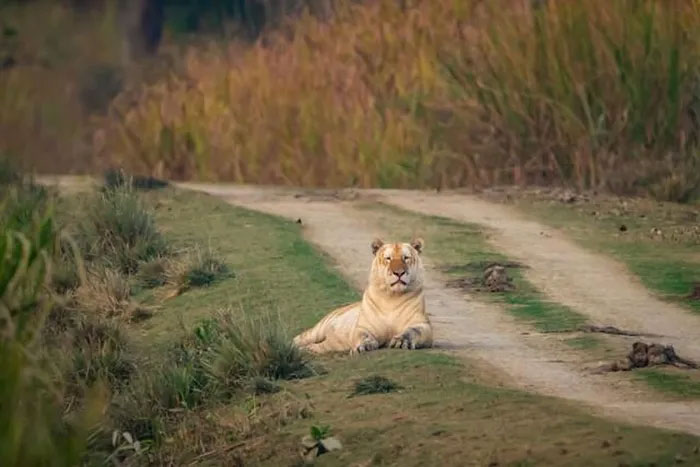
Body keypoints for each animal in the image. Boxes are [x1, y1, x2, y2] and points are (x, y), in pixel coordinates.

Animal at [292, 238, 432, 354]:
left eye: (406, 258)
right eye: (388, 258)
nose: (399, 272)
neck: (392, 297)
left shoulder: (423, 324)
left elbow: (412, 331)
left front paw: (401, 341)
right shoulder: (362, 327)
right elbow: (363, 336)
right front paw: (365, 346)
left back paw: (306, 350)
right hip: (318, 329)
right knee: (300, 338)